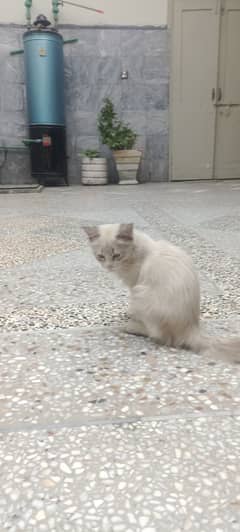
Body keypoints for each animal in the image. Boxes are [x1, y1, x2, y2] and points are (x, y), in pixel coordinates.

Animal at [84, 222, 240, 364]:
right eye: (101, 257)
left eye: (117, 255)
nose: (108, 267)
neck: (140, 250)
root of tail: (191, 328)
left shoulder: (134, 284)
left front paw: (130, 314)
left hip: (140, 293)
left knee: (160, 336)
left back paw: (130, 326)